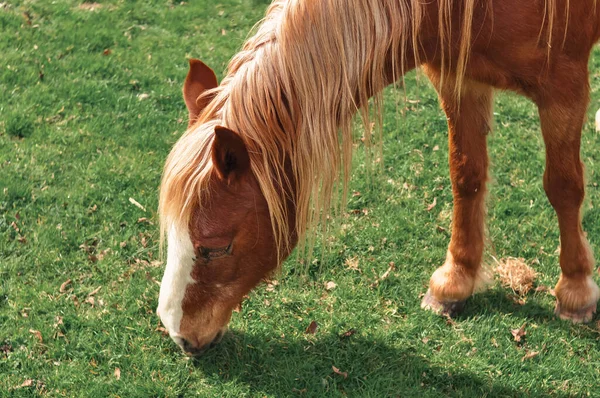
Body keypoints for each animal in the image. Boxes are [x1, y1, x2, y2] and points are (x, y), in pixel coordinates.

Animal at [156, 0, 600, 354]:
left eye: (215, 248)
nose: (177, 333)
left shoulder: (564, 87)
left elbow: (563, 186)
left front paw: (576, 292)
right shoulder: (460, 77)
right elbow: (466, 176)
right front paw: (455, 282)